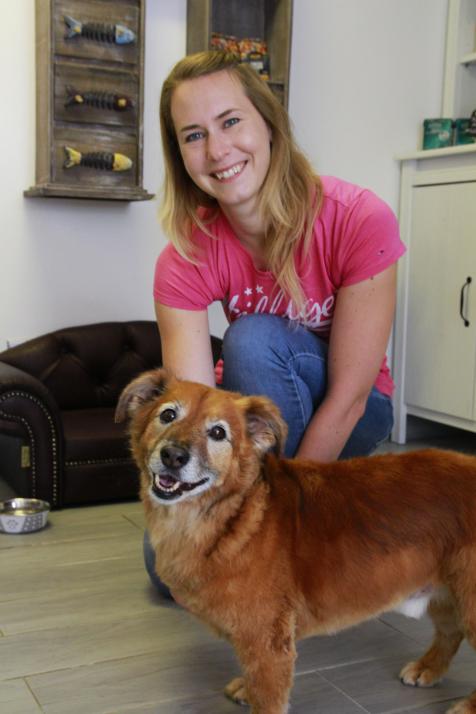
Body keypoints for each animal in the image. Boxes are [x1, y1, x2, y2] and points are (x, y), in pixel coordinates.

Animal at [116, 370, 476, 708]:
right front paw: (246, 687)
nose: (173, 456)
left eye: (218, 433)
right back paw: (428, 668)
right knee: (451, 631)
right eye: (167, 415)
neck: (234, 516)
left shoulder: (267, 643)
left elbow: (268, 697)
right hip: (445, 592)